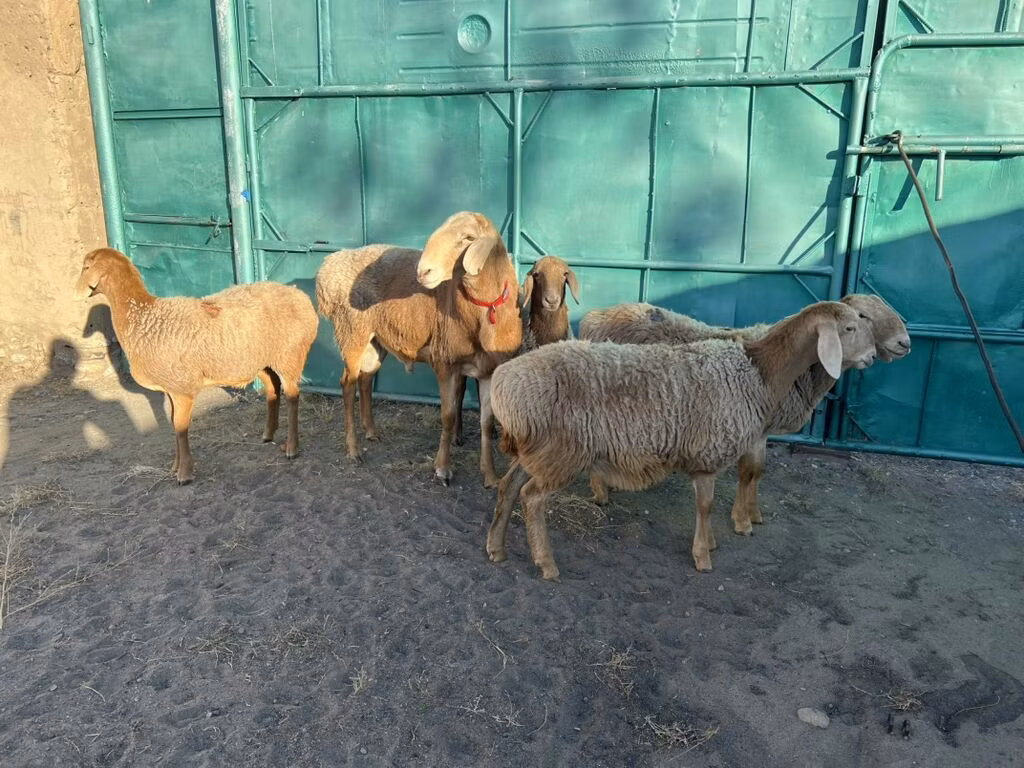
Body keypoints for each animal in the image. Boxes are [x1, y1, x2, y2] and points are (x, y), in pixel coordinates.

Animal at [75, 247, 319, 485]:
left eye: (86, 267)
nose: (76, 293)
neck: (143, 317)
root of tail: (300, 295)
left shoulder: (181, 388)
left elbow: (180, 427)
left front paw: (184, 474)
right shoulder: (171, 388)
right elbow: (173, 424)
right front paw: (174, 467)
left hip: (289, 355)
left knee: (292, 396)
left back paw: (292, 448)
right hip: (261, 359)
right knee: (272, 388)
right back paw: (268, 434)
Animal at [314, 211, 521, 487]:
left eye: (468, 238)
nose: (423, 271)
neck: (482, 310)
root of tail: (329, 266)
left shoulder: (488, 370)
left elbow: (487, 424)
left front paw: (490, 476)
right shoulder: (445, 364)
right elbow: (448, 416)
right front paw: (442, 468)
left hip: (375, 341)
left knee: (365, 380)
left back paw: (371, 432)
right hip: (352, 333)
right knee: (347, 385)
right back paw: (353, 449)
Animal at [485, 300, 878, 580]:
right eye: (849, 327)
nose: (873, 356)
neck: (759, 371)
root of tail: (505, 382)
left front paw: (712, 543)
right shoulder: (708, 454)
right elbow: (705, 505)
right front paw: (703, 555)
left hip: (538, 450)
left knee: (508, 487)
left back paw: (496, 548)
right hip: (562, 453)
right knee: (531, 498)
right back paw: (546, 564)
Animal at [579, 294, 910, 531]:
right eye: (861, 317)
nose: (904, 343)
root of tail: (594, 317)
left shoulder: (761, 429)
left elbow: (758, 471)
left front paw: (754, 513)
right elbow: (748, 472)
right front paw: (741, 520)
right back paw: (600, 493)